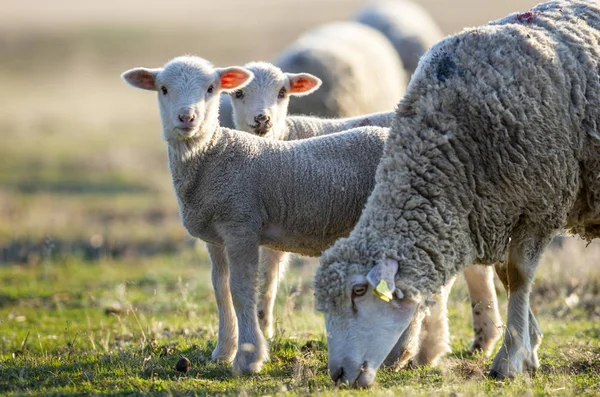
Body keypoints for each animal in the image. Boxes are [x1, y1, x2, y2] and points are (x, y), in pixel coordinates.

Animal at [120, 55, 390, 374]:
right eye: (163, 89)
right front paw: (224, 350)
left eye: (211, 89)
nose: (187, 117)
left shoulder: (241, 225)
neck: (212, 152)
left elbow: (243, 290)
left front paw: (249, 357)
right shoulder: (215, 236)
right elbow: (221, 289)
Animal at [314, 0, 600, 386]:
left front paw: (510, 359)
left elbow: (519, 276)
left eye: (358, 291)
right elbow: (504, 276)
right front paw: (529, 350)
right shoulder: (491, 210)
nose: (339, 375)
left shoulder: (541, 203)